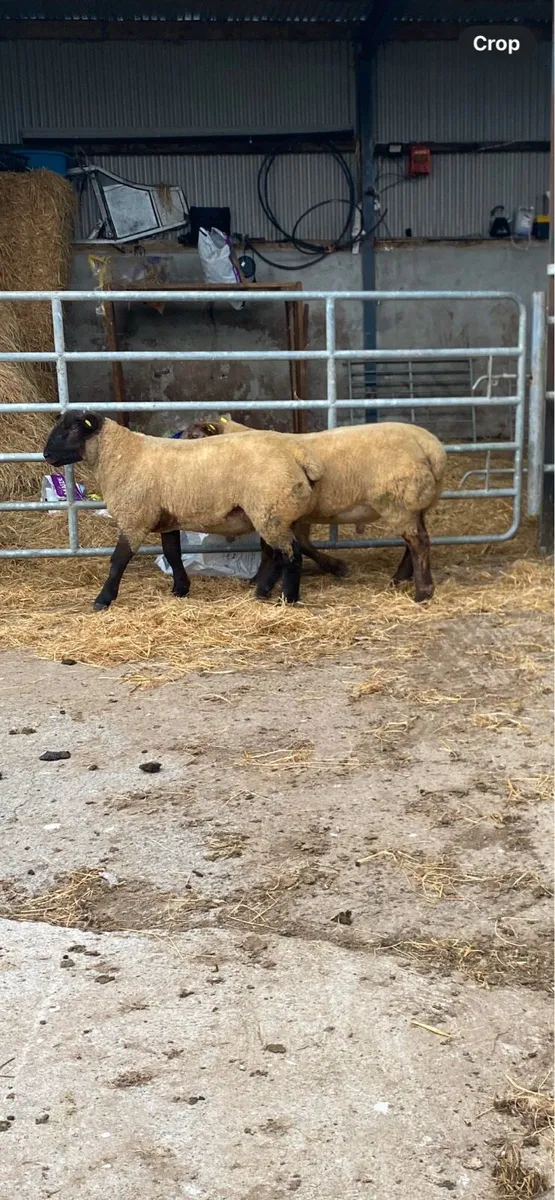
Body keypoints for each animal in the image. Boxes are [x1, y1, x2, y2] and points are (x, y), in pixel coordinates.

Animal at [43, 411, 325, 609]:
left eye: (72, 429)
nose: (46, 455)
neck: (120, 454)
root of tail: (298, 457)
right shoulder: (167, 519)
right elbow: (172, 554)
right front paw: (180, 588)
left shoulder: (135, 517)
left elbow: (119, 560)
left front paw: (103, 599)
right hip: (274, 513)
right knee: (278, 555)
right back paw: (263, 591)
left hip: (271, 511)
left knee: (291, 555)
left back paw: (287, 598)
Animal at [183, 414, 447, 602]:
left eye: (194, 437)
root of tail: (431, 448)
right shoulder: (291, 515)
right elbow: (290, 546)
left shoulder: (279, 511)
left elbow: (287, 547)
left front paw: (335, 567)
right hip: (414, 504)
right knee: (416, 542)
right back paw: (400, 579)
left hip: (398, 501)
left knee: (418, 543)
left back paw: (422, 592)